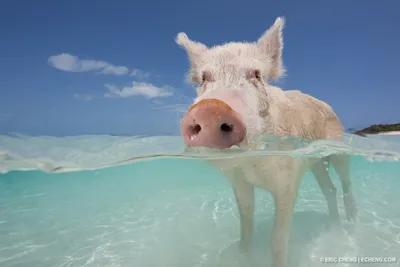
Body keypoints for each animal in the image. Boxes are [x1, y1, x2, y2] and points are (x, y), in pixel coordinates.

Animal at [177, 16, 358, 267]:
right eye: (204, 78)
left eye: (256, 75)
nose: (211, 108)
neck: (253, 164)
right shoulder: (240, 183)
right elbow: (245, 230)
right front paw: (244, 256)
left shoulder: (288, 182)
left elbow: (277, 238)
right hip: (315, 161)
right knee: (329, 188)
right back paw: (334, 227)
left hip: (338, 146)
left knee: (344, 179)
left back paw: (352, 220)